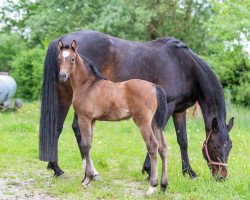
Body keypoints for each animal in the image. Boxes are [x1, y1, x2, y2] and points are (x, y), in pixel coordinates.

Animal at [57, 39, 169, 195]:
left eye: (72, 59)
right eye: (59, 59)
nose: (62, 76)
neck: (87, 85)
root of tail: (154, 87)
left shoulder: (84, 118)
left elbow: (85, 146)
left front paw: (86, 179)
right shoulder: (92, 121)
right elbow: (89, 145)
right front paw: (88, 177)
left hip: (143, 122)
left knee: (153, 146)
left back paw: (152, 187)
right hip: (155, 123)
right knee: (163, 147)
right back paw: (164, 185)